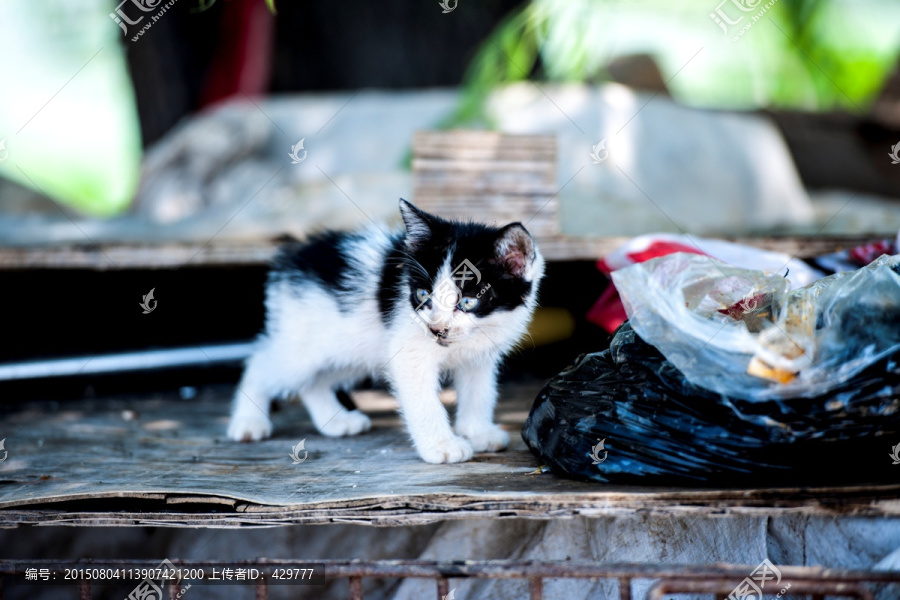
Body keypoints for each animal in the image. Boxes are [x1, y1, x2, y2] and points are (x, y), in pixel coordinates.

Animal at [229, 199, 544, 462]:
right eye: (422, 295)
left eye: (467, 302)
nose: (436, 329)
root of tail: (292, 258)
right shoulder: (408, 351)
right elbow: (423, 400)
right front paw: (441, 446)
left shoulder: (481, 354)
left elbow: (480, 391)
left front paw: (477, 431)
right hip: (303, 345)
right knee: (260, 362)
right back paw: (248, 423)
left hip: (349, 349)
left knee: (314, 381)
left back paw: (335, 419)